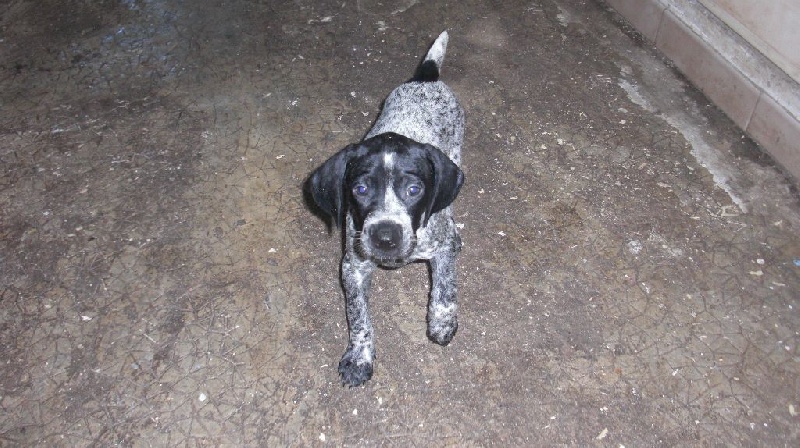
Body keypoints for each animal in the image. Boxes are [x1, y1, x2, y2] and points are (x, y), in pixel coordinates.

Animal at [307, 31, 465, 386]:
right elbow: (359, 316)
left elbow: (445, 285)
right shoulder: (352, 266)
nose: (385, 237)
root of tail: (425, 78)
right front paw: (359, 356)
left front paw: (441, 321)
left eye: (414, 190)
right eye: (360, 190)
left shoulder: (439, 248)